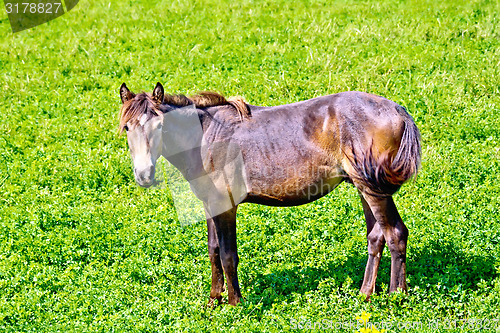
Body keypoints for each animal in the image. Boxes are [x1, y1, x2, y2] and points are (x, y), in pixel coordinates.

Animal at [119, 81, 420, 304]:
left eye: (160, 126)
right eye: (127, 127)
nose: (144, 175)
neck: (206, 137)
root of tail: (397, 109)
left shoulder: (226, 205)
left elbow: (228, 255)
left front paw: (234, 303)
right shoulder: (210, 204)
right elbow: (213, 251)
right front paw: (213, 301)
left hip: (374, 190)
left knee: (395, 233)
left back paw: (396, 296)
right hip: (363, 187)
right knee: (376, 236)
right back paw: (365, 294)